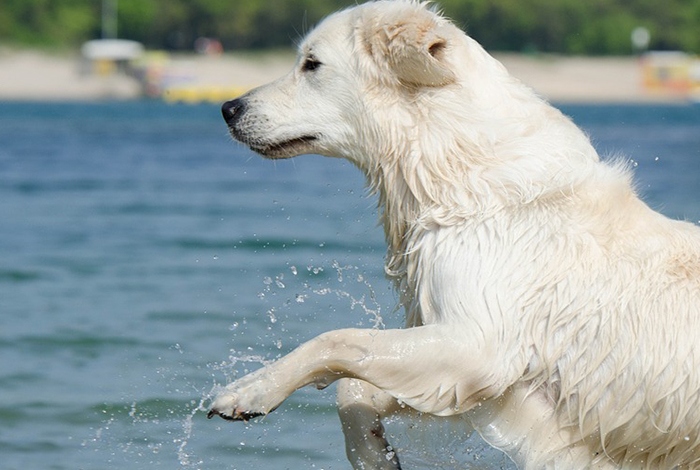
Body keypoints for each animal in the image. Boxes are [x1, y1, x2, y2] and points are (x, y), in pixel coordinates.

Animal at [211, 1, 700, 468]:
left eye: (311, 64)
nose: (228, 109)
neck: (457, 169)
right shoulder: (487, 380)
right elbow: (354, 386)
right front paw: (375, 456)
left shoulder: (479, 345)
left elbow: (339, 339)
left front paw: (249, 391)